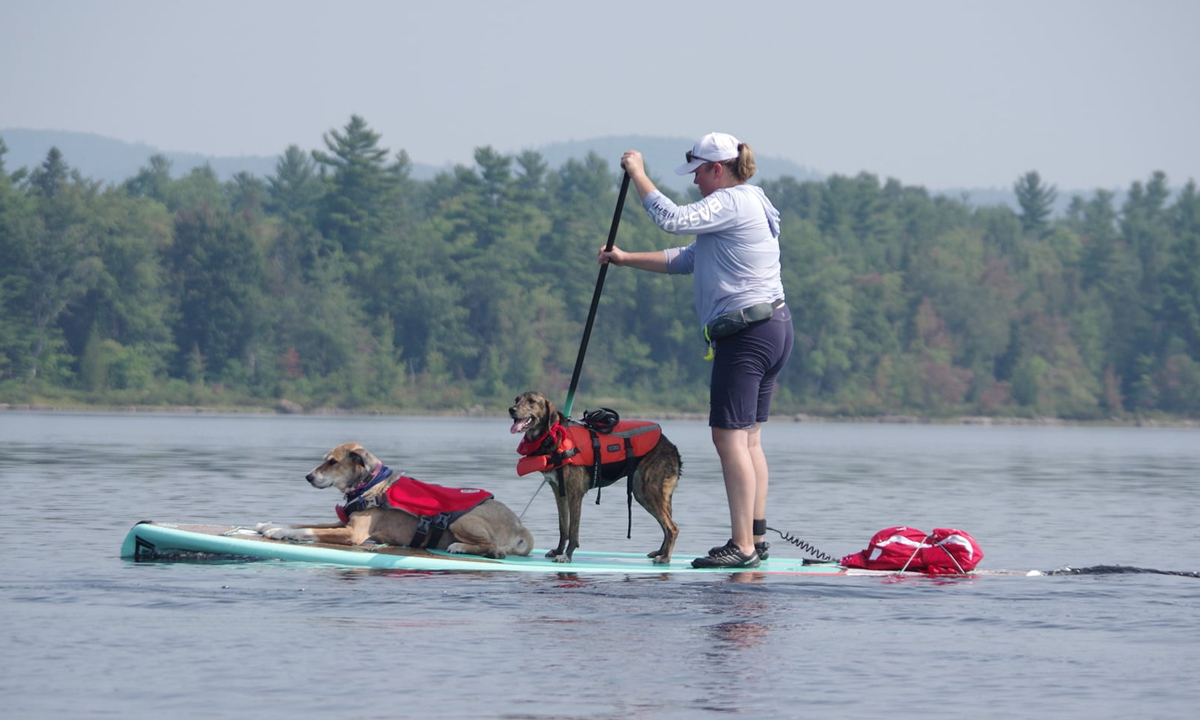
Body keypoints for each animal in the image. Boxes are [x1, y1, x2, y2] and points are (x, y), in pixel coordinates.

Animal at [255, 441, 532, 559]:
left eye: (332, 462)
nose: (308, 476)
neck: (370, 483)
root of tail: (521, 527)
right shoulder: (342, 522)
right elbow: (303, 523)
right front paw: (269, 525)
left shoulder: (353, 533)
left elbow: (308, 530)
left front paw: (277, 531)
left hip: (461, 521)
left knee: (493, 548)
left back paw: (461, 547)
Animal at [504, 393, 681, 561]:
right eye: (517, 399)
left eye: (532, 401)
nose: (511, 409)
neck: (554, 435)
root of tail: (671, 446)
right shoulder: (559, 493)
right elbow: (563, 527)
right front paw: (559, 551)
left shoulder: (575, 493)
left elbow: (573, 530)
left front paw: (567, 555)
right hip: (648, 493)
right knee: (666, 526)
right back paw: (661, 552)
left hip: (647, 492)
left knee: (672, 528)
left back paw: (665, 557)